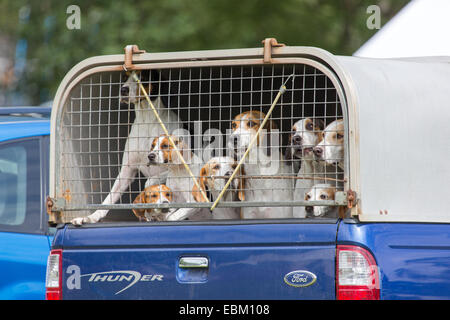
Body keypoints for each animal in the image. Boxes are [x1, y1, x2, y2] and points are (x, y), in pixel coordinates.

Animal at [71, 70, 182, 225]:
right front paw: (91, 217)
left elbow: (149, 182)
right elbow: (109, 198)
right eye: (124, 77)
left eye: (143, 77)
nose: (123, 90)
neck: (146, 120)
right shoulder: (126, 171)